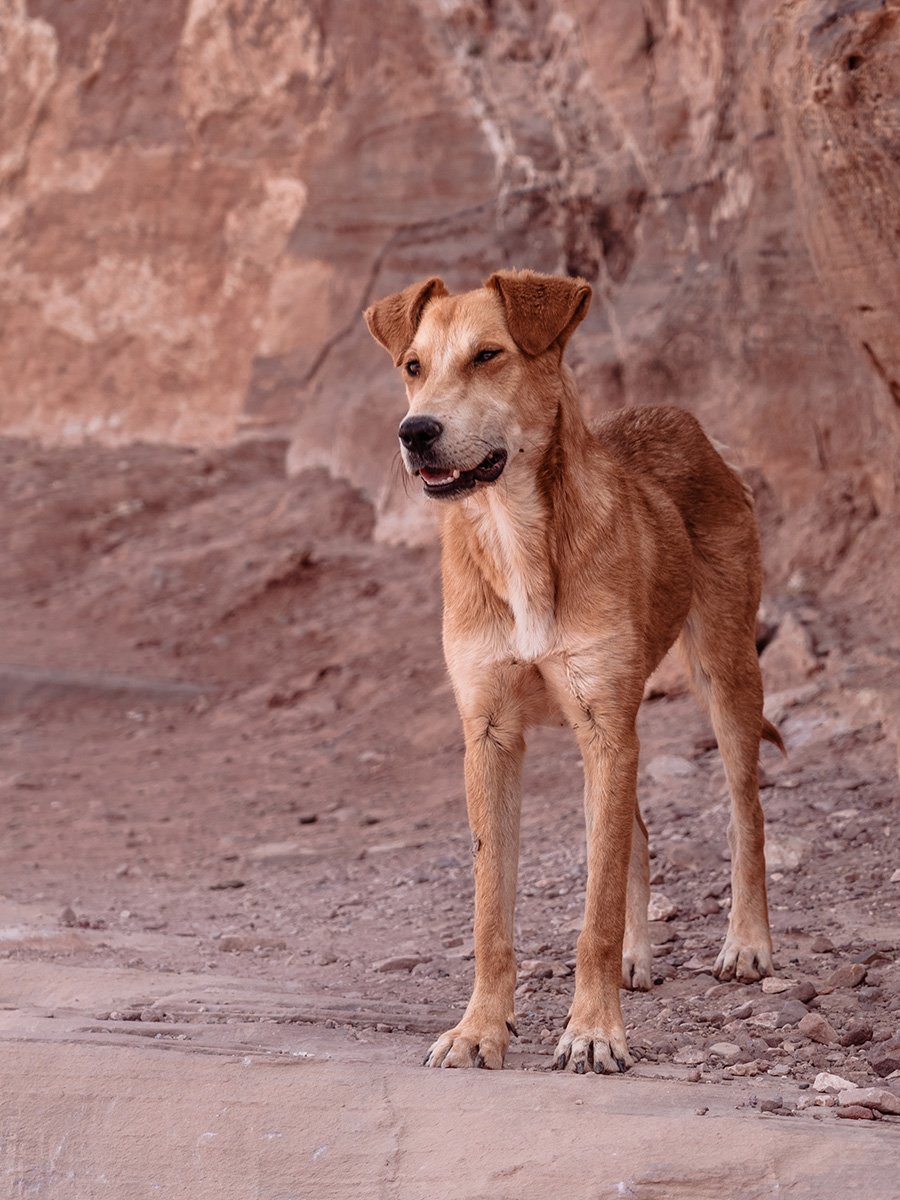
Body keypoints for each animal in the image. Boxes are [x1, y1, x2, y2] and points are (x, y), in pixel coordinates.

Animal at [362, 272, 787, 1080]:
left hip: (723, 673)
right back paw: (636, 955)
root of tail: (680, 419)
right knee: (636, 834)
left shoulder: (605, 727)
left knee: (744, 813)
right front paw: (479, 1030)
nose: (415, 432)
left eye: (488, 355)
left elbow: (594, 913)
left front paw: (593, 1032)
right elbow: (492, 911)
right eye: (412, 366)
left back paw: (747, 943)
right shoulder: (491, 736)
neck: (515, 532)